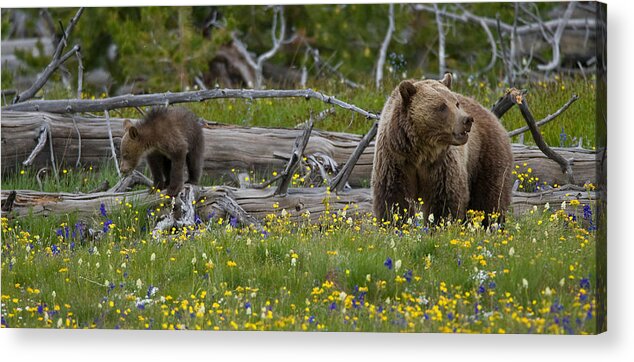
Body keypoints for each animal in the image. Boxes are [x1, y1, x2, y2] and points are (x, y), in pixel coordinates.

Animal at [372, 74, 512, 225]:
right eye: (442, 106)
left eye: (456, 103)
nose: (467, 120)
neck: (419, 152)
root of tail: (490, 114)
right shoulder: (396, 160)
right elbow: (394, 198)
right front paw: (395, 223)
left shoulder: (441, 165)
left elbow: (445, 199)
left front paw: (440, 224)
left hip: (485, 155)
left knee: (489, 197)